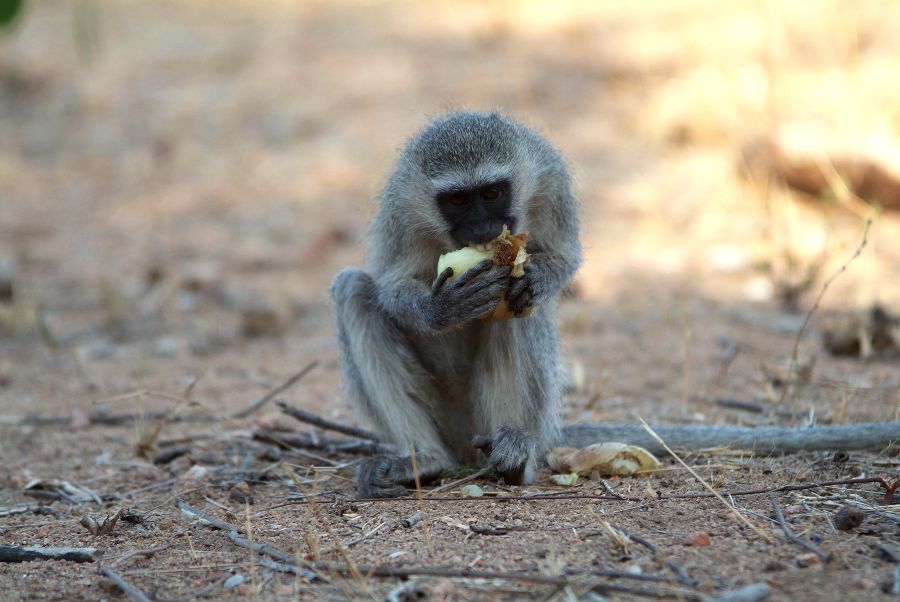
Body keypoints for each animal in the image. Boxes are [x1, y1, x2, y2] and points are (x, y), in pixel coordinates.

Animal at [331, 111, 579, 497]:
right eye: (458, 201)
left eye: (491, 193)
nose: (481, 228)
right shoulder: (401, 207)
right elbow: (391, 284)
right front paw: (442, 309)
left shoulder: (550, 180)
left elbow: (565, 255)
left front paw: (538, 278)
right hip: (447, 418)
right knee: (353, 291)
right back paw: (425, 459)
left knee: (516, 306)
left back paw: (514, 455)